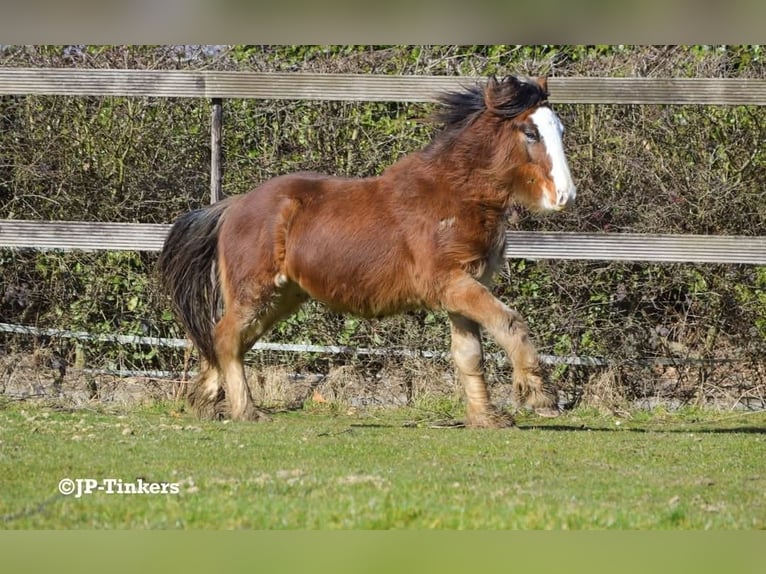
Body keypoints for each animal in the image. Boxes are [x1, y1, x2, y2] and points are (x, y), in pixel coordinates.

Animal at [160, 75, 576, 428]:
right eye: (530, 132)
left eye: (560, 130)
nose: (565, 196)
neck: (454, 196)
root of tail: (232, 205)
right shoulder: (451, 285)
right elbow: (510, 323)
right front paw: (540, 395)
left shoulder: (464, 289)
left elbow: (469, 355)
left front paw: (487, 418)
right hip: (255, 292)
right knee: (226, 337)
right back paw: (246, 411)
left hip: (283, 296)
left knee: (228, 340)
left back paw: (205, 400)